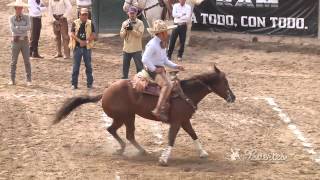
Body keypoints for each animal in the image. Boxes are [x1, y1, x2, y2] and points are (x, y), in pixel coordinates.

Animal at [54, 65, 235, 165]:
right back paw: (124, 148)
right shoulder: (176, 122)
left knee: (126, 134)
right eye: (225, 82)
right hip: (123, 117)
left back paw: (138, 150)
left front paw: (203, 153)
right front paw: (164, 159)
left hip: (129, 117)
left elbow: (194, 135)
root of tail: (105, 92)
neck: (186, 93)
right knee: (115, 131)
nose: (233, 97)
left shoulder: (185, 121)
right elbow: (171, 139)